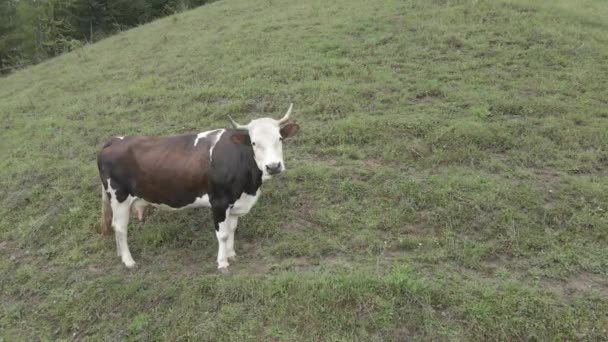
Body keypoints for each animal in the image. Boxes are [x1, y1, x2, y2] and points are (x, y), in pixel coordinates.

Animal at [95, 103, 302, 274]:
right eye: (253, 142)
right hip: (119, 197)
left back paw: (120, 255)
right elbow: (223, 234)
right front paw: (222, 263)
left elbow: (232, 229)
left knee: (115, 227)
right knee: (120, 228)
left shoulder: (234, 203)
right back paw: (129, 261)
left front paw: (232, 254)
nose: (273, 166)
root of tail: (116, 140)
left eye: (280, 138)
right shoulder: (219, 202)